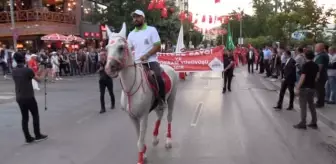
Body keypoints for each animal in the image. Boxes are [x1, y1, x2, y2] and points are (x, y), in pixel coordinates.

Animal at [104, 23, 178, 164]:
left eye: (121, 48)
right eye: (106, 48)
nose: (109, 68)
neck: (130, 89)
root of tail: (170, 67)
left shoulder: (143, 116)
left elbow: (140, 141)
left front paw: (141, 159)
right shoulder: (132, 117)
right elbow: (139, 139)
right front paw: (144, 154)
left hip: (172, 99)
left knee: (169, 117)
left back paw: (168, 140)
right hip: (158, 104)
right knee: (159, 116)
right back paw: (155, 138)